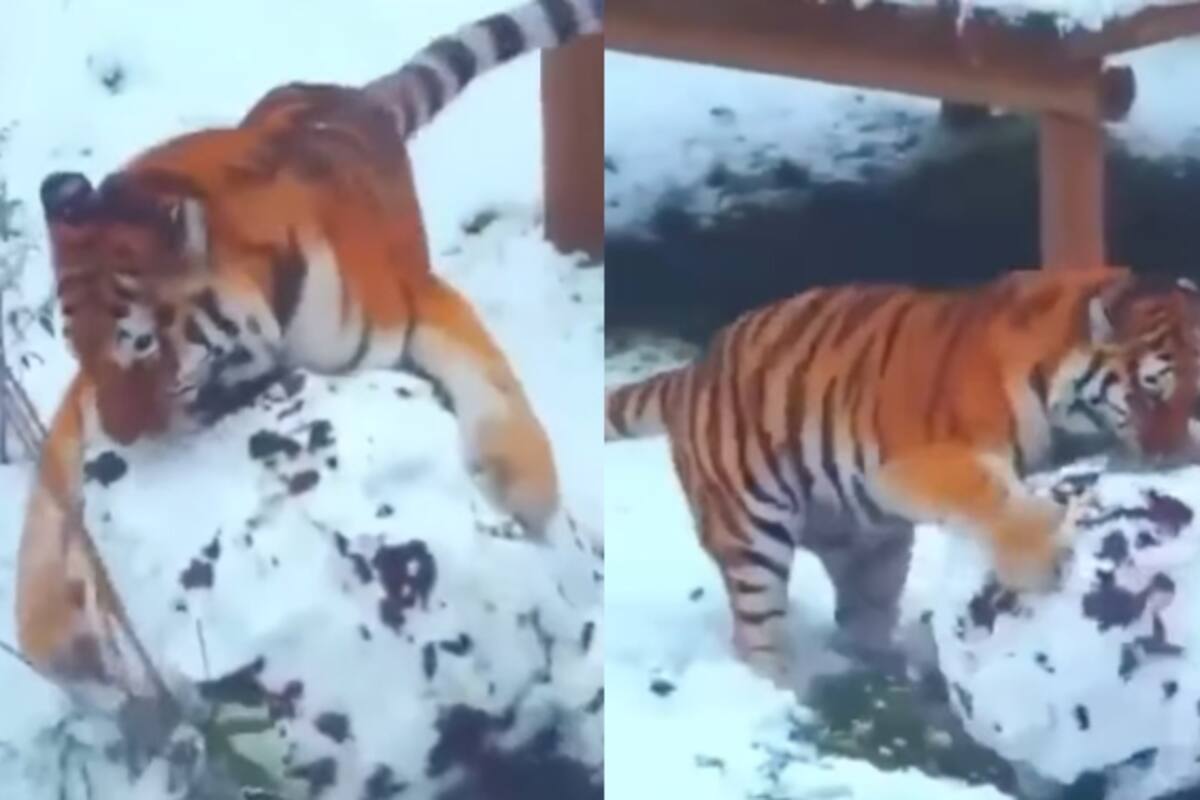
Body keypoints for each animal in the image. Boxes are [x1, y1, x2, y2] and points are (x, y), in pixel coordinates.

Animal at [17, 0, 601, 698]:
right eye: (79, 350)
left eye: (141, 343)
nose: (124, 439)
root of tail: (345, 94)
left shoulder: (417, 304)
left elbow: (491, 380)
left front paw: (529, 495)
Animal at [605, 266, 1200, 684]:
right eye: (1148, 393)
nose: (1177, 457)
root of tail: (692, 371)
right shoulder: (913, 462)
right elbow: (990, 491)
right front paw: (1041, 561)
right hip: (751, 532)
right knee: (756, 632)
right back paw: (778, 686)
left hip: (873, 548)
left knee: (861, 618)